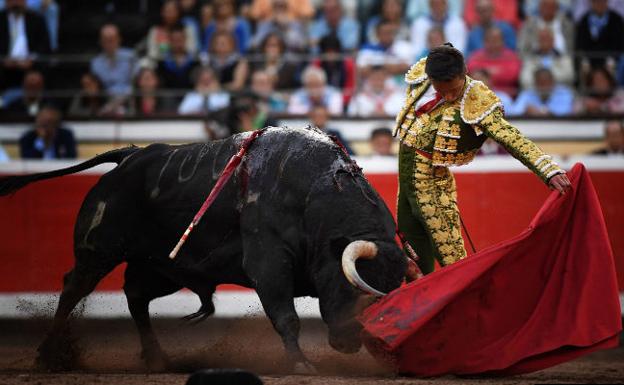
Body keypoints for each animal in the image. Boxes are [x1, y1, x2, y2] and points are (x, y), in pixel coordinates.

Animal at [0, 127, 408, 372]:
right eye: (351, 287)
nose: (350, 342)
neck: (315, 194)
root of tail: (131, 155)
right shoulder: (269, 263)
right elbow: (285, 316)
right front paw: (301, 365)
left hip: (162, 267)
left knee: (136, 296)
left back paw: (156, 359)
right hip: (98, 249)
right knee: (74, 287)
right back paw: (48, 355)